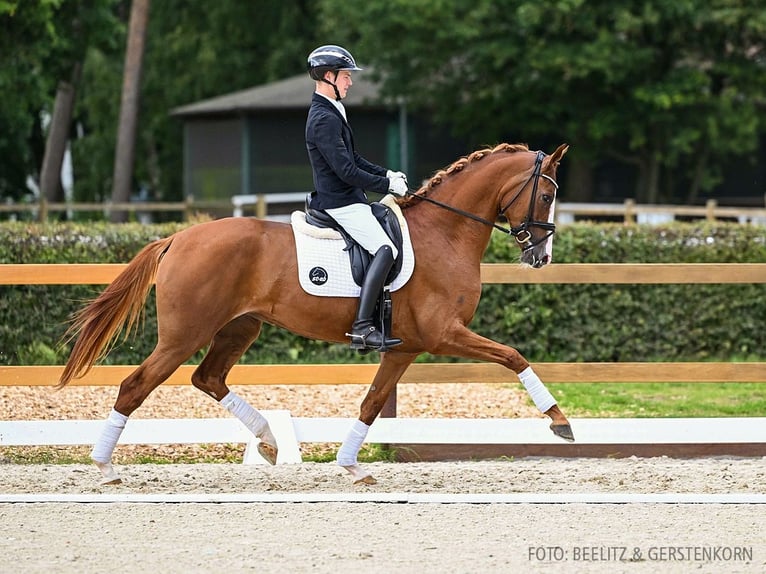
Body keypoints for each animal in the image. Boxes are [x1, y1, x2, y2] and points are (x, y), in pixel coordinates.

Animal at [58, 143, 576, 486]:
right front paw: (559, 421)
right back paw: (104, 468)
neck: (445, 232)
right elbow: (512, 355)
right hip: (184, 335)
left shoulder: (405, 348)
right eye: (546, 196)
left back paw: (269, 439)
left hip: (239, 328)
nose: (542, 257)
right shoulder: (443, 333)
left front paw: (350, 466)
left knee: (208, 378)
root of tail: (178, 237)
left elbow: (372, 403)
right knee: (136, 385)